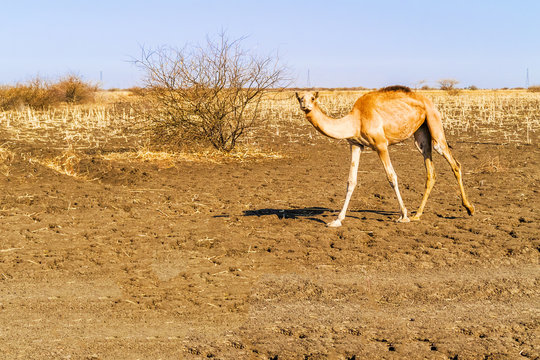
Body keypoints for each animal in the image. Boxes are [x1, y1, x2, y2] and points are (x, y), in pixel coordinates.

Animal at [294, 86, 474, 226]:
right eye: (299, 98)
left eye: (312, 98)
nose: (306, 106)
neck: (356, 120)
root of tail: (429, 102)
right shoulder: (355, 145)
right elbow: (351, 181)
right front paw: (337, 220)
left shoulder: (381, 145)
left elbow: (392, 177)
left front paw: (403, 215)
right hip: (421, 134)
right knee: (431, 171)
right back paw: (418, 214)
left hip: (434, 123)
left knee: (453, 162)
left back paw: (469, 208)